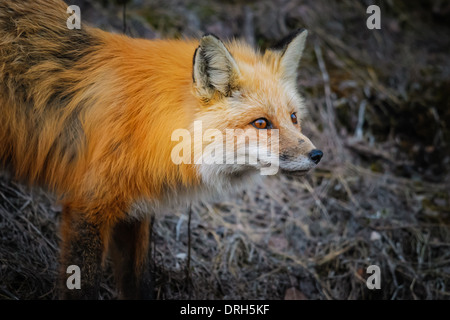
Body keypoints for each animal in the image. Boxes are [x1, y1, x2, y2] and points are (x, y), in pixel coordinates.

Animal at [0, 0, 324, 300]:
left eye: (293, 118)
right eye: (261, 123)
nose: (317, 155)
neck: (144, 122)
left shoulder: (134, 212)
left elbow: (138, 282)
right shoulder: (88, 205)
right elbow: (82, 284)